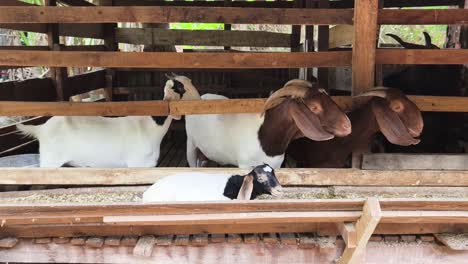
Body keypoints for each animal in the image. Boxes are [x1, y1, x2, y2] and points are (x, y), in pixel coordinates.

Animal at [165, 73, 352, 168]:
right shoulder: (245, 166)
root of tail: (199, 98)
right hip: (191, 144)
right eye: (314, 107)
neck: (264, 135)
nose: (347, 126)